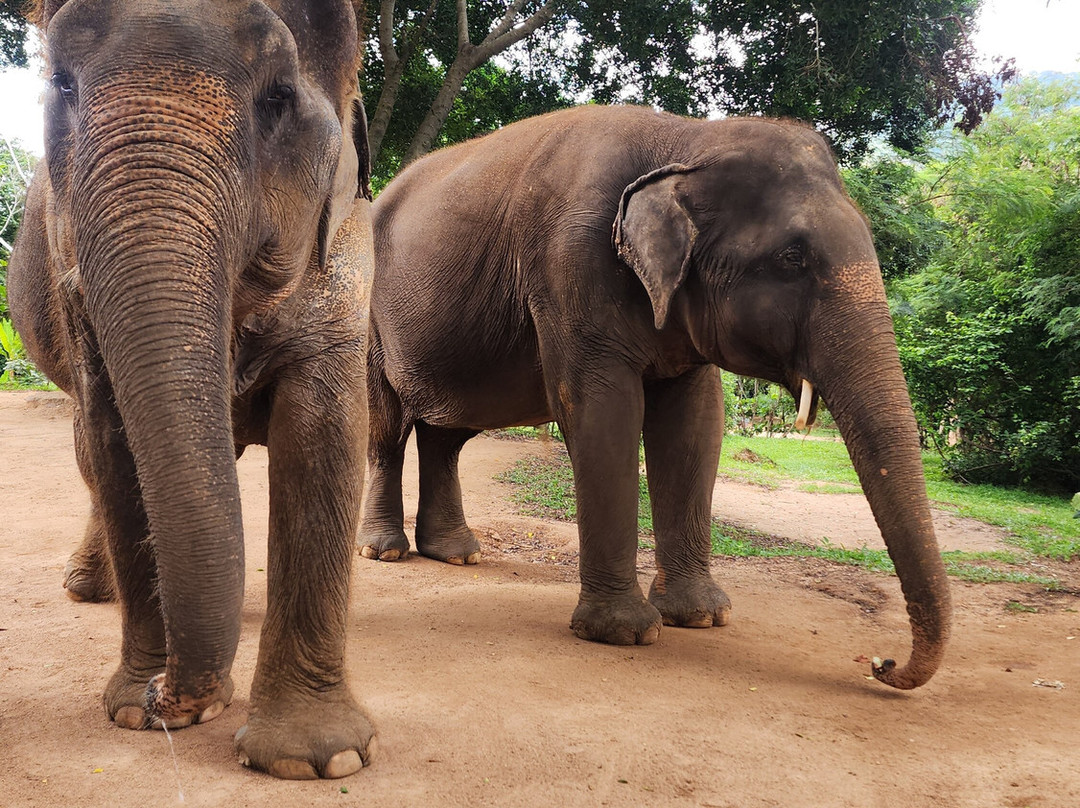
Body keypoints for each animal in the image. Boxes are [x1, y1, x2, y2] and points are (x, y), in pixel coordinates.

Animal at [8, 0, 375, 779]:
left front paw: (317, 760)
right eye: (62, 86)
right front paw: (132, 710)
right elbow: (115, 447)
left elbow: (325, 433)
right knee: (88, 458)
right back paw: (90, 589)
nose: (163, 695)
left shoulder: (346, 248)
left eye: (277, 99)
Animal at [359, 104, 951, 690]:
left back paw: (456, 555)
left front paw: (703, 617)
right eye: (791, 257)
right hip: (367, 315)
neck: (688, 140)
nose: (880, 663)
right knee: (385, 428)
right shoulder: (569, 265)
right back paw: (384, 552)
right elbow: (603, 410)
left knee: (445, 436)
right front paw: (624, 632)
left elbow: (695, 425)